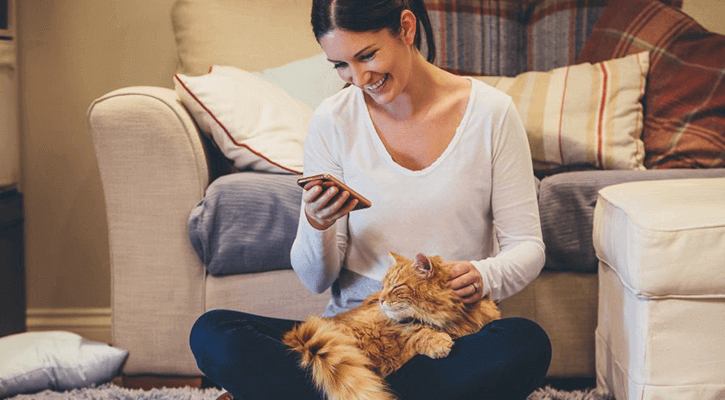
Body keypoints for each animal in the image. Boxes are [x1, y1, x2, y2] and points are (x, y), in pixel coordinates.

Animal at [280, 252, 500, 398]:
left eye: (396, 287)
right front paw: (439, 343)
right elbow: (419, 332)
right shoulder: (396, 333)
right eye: (383, 285)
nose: (380, 300)